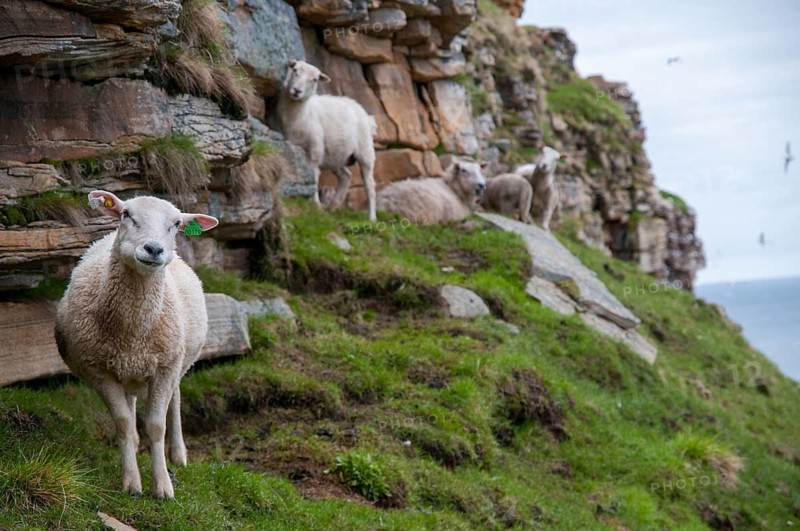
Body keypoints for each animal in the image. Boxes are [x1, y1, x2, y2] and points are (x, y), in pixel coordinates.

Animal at [54, 191, 219, 499]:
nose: (154, 249)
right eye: (126, 214)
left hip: (179, 360)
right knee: (130, 408)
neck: (132, 332)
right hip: (126, 370)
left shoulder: (165, 368)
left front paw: (163, 486)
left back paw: (178, 453)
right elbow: (123, 423)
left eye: (176, 224)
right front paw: (131, 482)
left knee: (176, 399)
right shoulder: (100, 370)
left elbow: (156, 425)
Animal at [278, 59, 377, 222]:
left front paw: (315, 204)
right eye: (295, 70)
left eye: (314, 79)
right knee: (346, 176)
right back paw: (333, 205)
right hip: (336, 156)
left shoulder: (315, 149)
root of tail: (366, 115)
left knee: (370, 185)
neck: (300, 115)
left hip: (365, 152)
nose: (297, 90)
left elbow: (314, 176)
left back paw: (372, 217)